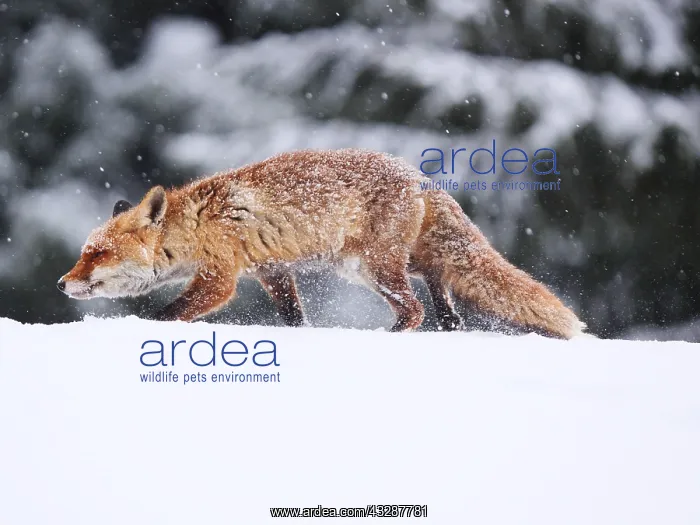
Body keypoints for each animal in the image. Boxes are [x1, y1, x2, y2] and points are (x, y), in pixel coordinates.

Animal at [58, 149, 585, 338]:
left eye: (96, 254)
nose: (62, 283)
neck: (196, 225)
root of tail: (419, 177)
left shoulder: (219, 278)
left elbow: (166, 315)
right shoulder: (269, 270)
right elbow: (293, 317)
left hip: (373, 267)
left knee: (414, 310)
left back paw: (388, 338)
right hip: (390, 263)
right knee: (441, 285)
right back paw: (448, 322)